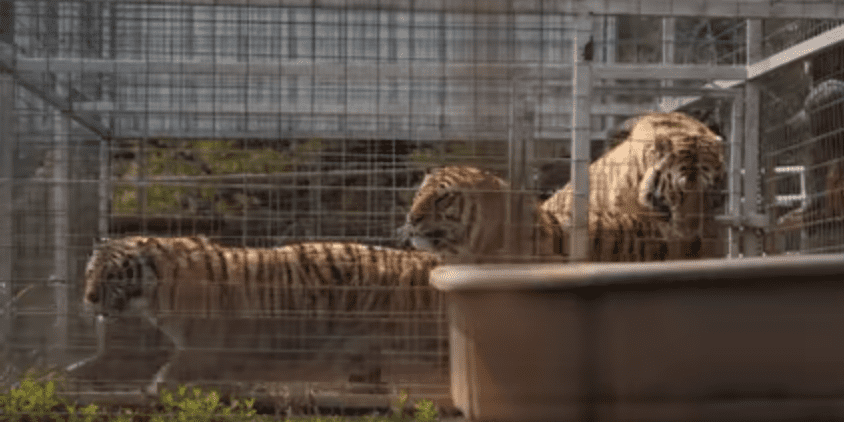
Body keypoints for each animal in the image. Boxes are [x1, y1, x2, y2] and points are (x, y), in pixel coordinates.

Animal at [81, 235, 443, 394]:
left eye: (110, 275)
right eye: (89, 272)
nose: (89, 297)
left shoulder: (203, 347)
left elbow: (170, 373)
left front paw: (155, 390)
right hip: (364, 348)